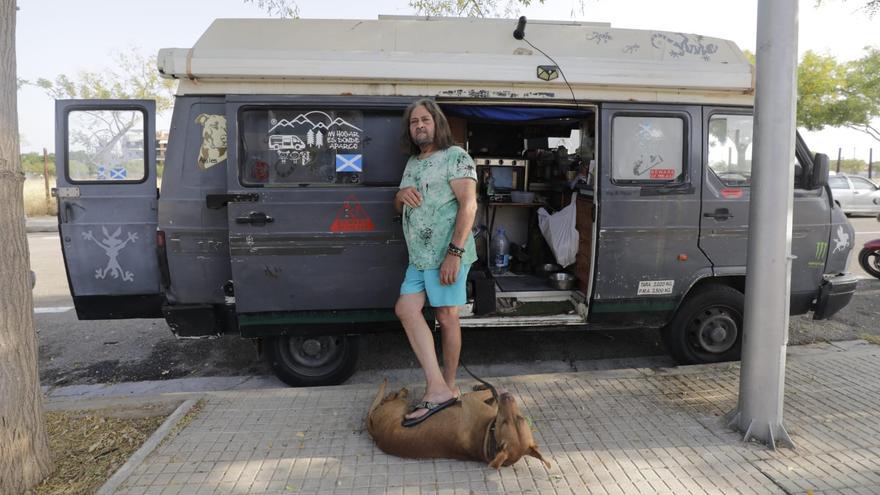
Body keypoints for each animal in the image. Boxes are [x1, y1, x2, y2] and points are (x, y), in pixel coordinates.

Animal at [366, 382, 552, 470]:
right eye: (519, 419)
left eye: (504, 422)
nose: (508, 397)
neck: (488, 435)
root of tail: (374, 432)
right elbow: (490, 393)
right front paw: (487, 387)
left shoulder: (470, 398)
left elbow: (491, 392)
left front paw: (494, 390)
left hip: (400, 408)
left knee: (388, 400)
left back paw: (399, 393)